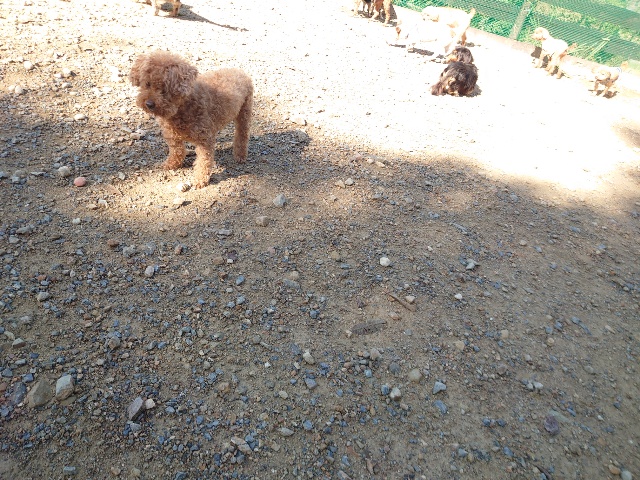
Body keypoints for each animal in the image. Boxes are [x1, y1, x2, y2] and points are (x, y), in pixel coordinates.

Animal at [129, 51, 253, 189]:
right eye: (147, 84)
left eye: (165, 88)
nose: (149, 104)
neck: (181, 108)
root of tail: (240, 72)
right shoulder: (172, 135)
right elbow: (176, 151)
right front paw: (171, 164)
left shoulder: (204, 139)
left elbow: (204, 162)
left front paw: (200, 180)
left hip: (245, 111)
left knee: (242, 135)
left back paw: (240, 155)